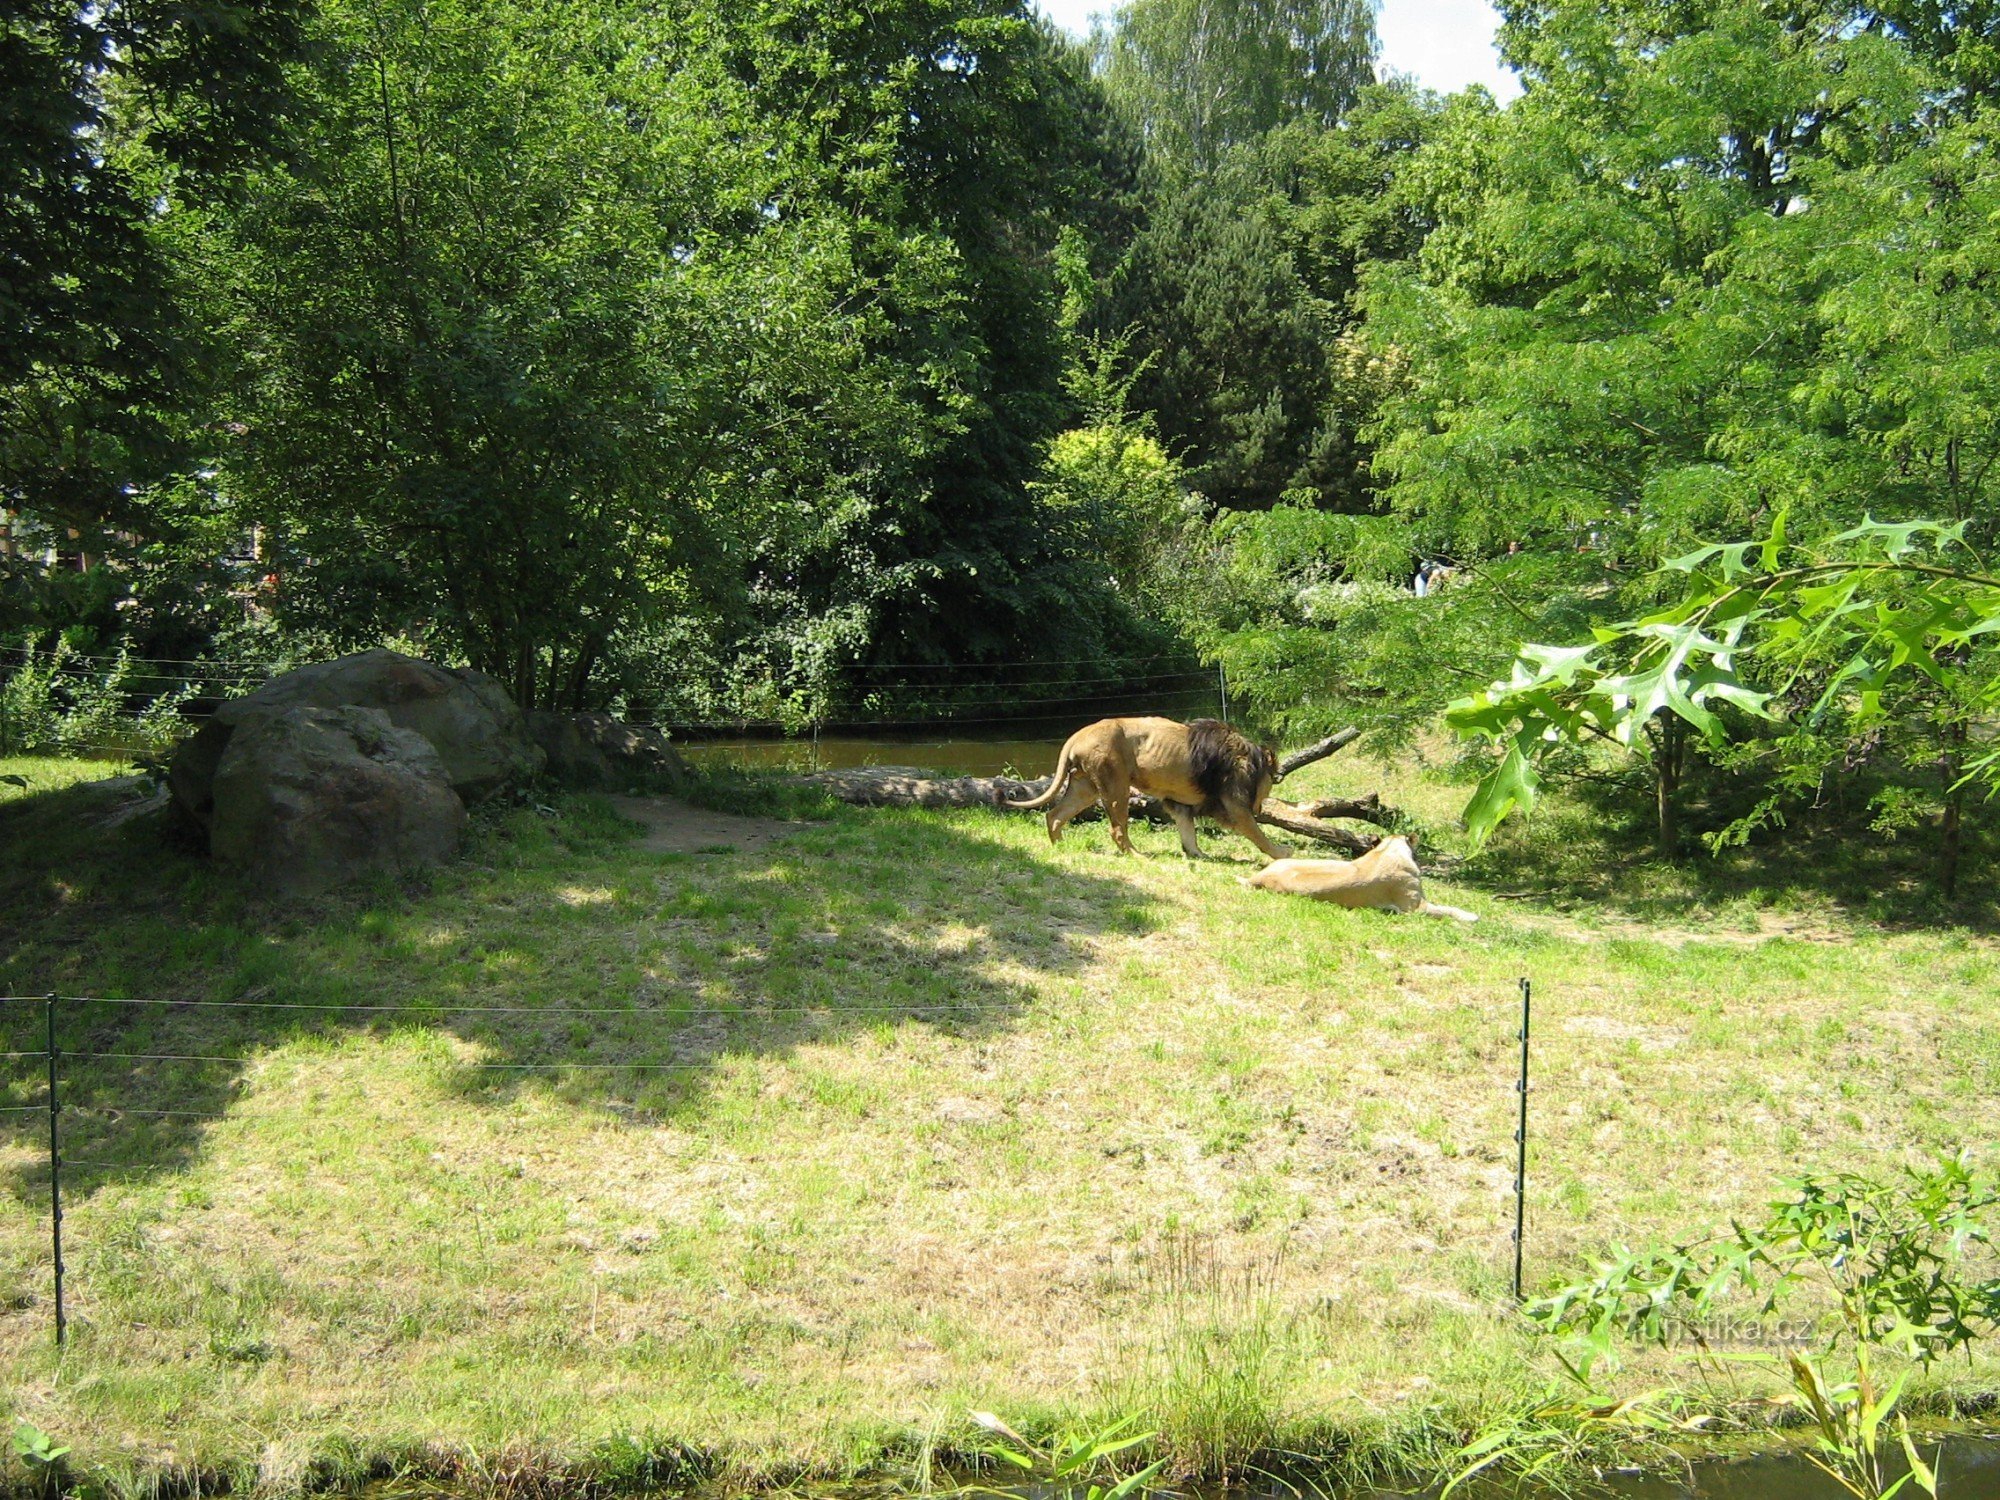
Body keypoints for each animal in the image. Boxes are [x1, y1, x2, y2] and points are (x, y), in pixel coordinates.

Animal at [1008, 724, 1288, 864]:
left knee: (1054, 815)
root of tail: (1077, 735)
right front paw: (1282, 853)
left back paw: (1061, 847)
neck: (1247, 757)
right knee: (1117, 829)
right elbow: (1258, 834)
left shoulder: (1180, 804)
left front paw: (1198, 855)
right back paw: (1137, 855)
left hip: (1084, 786)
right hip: (1115, 785)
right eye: (1273, 783)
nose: (1261, 806)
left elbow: (1188, 832)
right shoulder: (1233, 805)